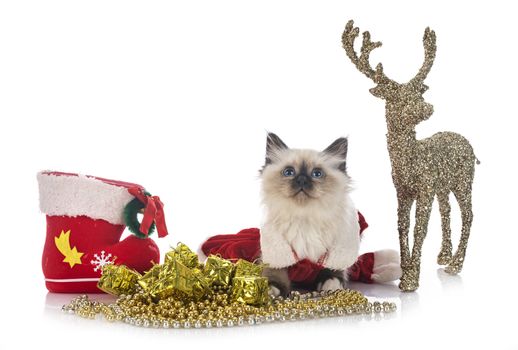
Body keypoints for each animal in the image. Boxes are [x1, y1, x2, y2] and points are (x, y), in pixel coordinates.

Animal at [260, 133, 362, 296]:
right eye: (289, 172)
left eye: (317, 174)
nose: (301, 179)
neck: (304, 219)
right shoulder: (276, 252)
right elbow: (275, 273)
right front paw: (271, 288)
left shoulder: (336, 251)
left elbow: (334, 271)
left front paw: (331, 284)